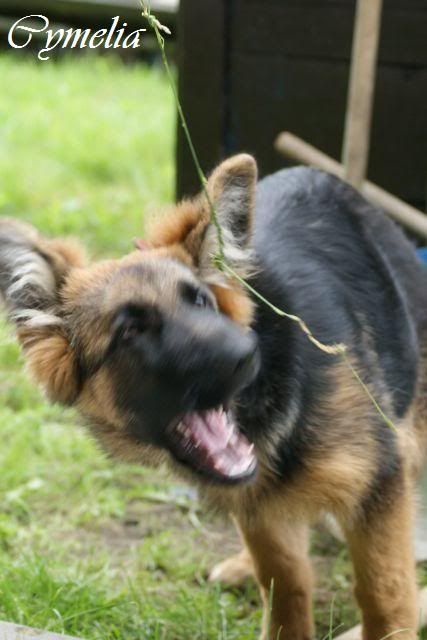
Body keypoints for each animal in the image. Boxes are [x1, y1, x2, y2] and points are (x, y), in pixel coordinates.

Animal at [1, 154, 426, 640]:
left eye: (201, 302)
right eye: (129, 331)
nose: (248, 354)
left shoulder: (380, 483)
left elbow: (383, 590)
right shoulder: (260, 506)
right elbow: (284, 576)